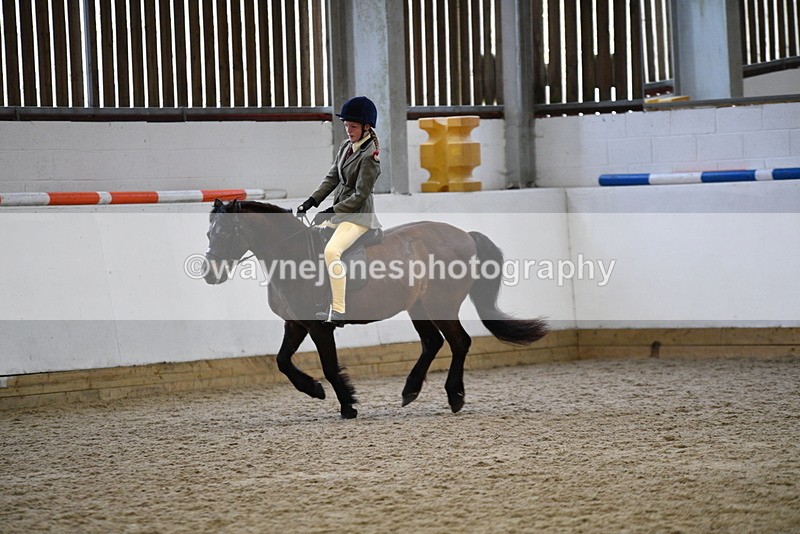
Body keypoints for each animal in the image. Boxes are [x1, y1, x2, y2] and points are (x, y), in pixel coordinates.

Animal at [203, 199, 548, 419]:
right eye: (209, 232)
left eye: (225, 232)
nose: (209, 274)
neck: (293, 254)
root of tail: (465, 235)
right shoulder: (296, 324)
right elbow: (282, 361)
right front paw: (314, 390)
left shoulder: (319, 326)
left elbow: (329, 366)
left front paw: (348, 406)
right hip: (418, 306)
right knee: (432, 342)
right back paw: (410, 391)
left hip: (441, 304)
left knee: (459, 342)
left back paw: (455, 396)